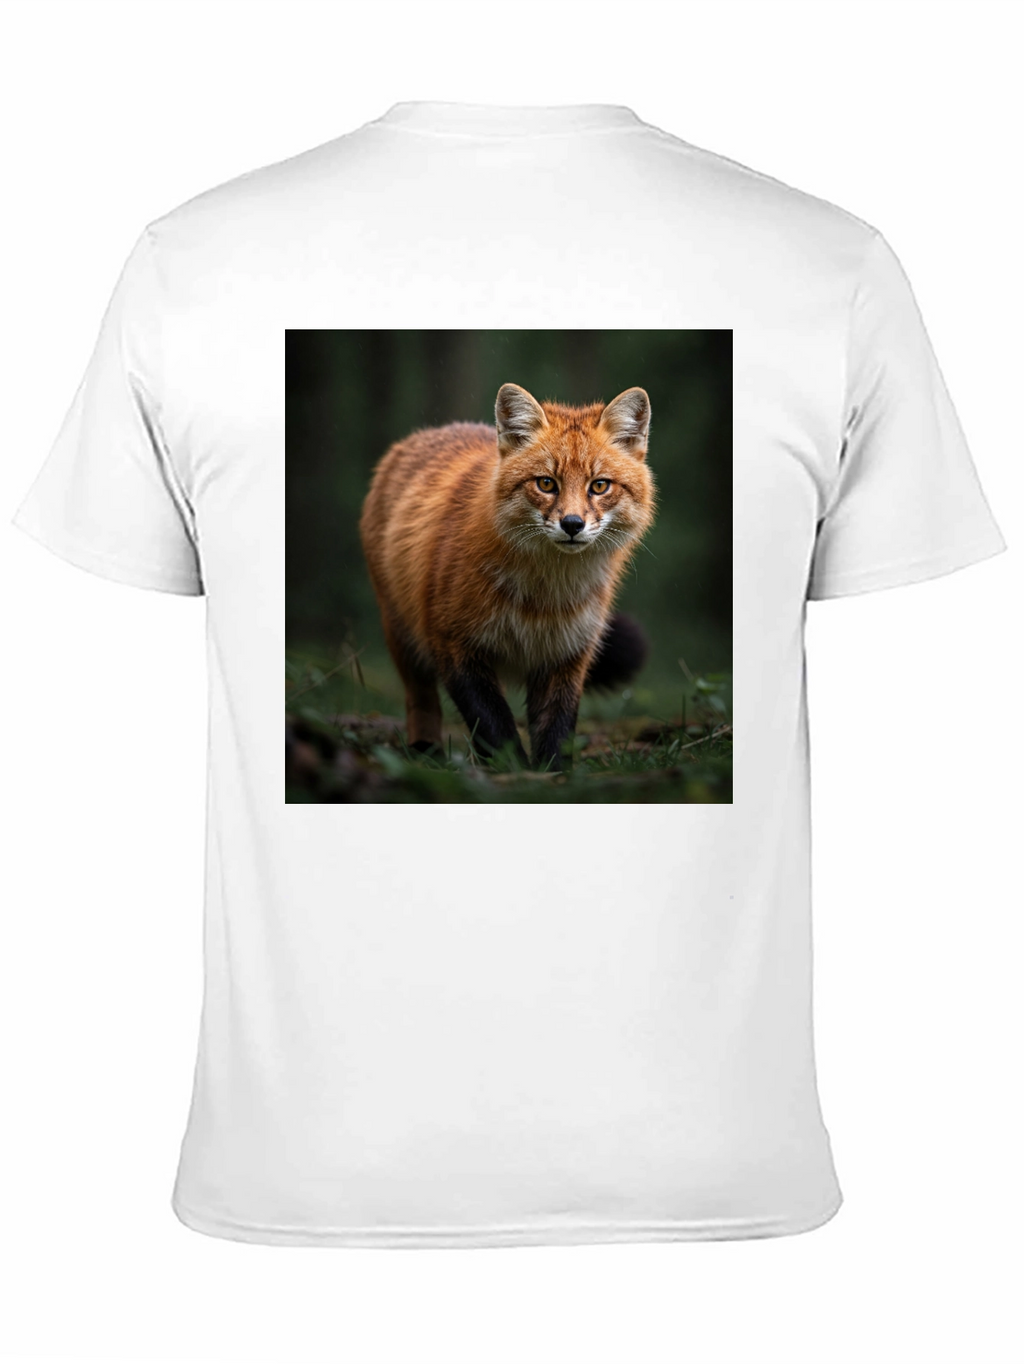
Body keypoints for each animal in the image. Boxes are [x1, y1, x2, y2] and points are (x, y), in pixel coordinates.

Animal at [359, 382, 656, 769]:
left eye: (599, 486)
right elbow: (494, 725)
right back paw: (426, 750)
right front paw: (514, 772)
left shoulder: (567, 653)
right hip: (402, 635)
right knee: (420, 700)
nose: (572, 524)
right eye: (546, 483)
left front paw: (552, 775)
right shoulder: (453, 644)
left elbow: (556, 728)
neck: (541, 601)